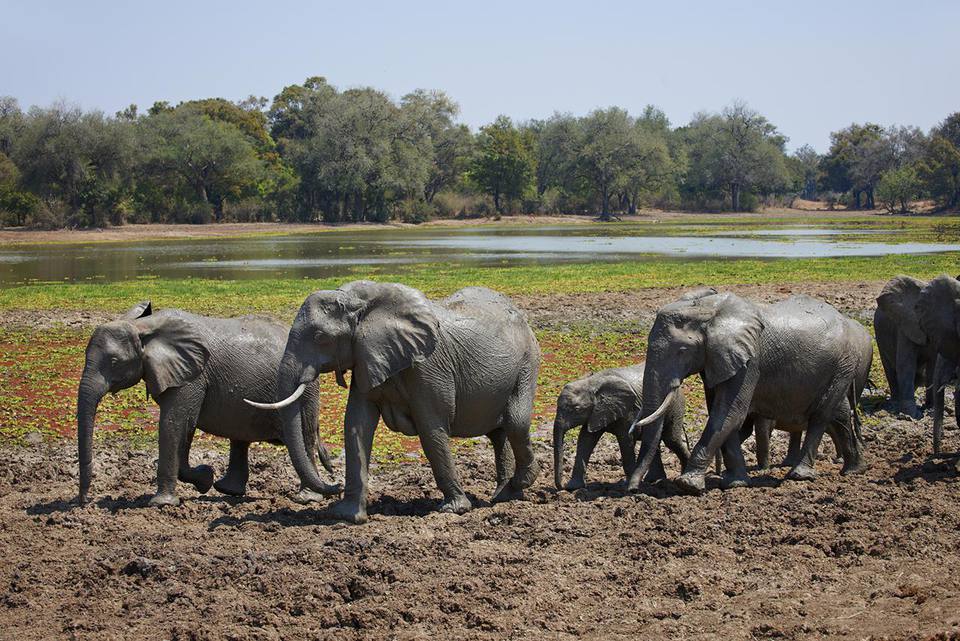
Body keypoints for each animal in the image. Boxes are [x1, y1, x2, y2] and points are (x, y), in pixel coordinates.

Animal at [79, 302, 342, 508]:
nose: (83, 502)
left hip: (308, 388)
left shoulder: (193, 376)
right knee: (241, 436)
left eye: (114, 362)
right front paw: (205, 480)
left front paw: (163, 503)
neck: (145, 327)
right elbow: (184, 427)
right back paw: (228, 490)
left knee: (305, 435)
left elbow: (175, 422)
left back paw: (306, 498)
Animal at [246, 282, 540, 524]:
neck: (361, 304)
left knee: (515, 422)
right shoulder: (365, 358)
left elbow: (432, 430)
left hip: (528, 361)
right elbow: (356, 426)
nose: (334, 484)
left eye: (320, 338)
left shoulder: (429, 367)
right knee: (499, 433)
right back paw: (503, 496)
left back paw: (518, 486)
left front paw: (454, 509)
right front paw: (346, 516)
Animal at [552, 364, 688, 490]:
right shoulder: (596, 412)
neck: (592, 382)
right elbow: (585, 440)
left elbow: (626, 440)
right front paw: (573, 488)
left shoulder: (628, 410)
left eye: (576, 409)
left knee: (671, 439)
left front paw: (627, 485)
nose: (561, 487)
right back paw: (654, 480)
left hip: (675, 404)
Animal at [632, 290, 872, 496]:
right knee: (839, 414)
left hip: (843, 363)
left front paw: (688, 484)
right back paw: (855, 470)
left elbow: (729, 413)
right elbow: (723, 415)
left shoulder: (750, 361)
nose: (632, 489)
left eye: (682, 351)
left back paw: (799, 475)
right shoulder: (716, 360)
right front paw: (735, 483)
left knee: (821, 416)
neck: (707, 309)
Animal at [876, 274, 936, 416]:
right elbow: (906, 365)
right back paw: (896, 403)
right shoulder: (906, 323)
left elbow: (933, 367)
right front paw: (913, 414)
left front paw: (931, 409)